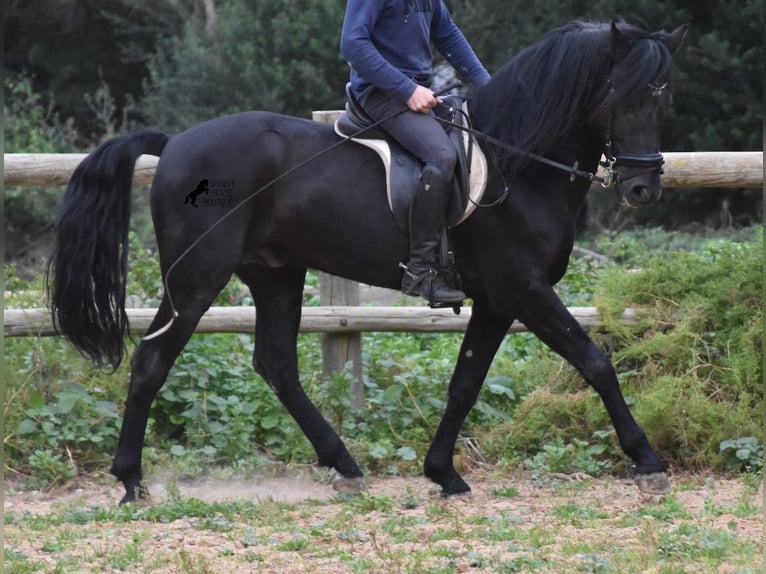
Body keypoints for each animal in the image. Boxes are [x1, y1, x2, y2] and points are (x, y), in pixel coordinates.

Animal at [52, 21, 688, 504]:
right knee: (152, 361)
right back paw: (131, 482)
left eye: (665, 97)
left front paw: (443, 473)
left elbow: (466, 382)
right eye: (625, 95)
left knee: (276, 364)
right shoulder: (524, 290)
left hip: (276, 273)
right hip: (195, 278)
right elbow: (595, 362)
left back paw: (345, 465)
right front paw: (648, 461)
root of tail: (176, 144)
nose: (643, 189)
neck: (519, 165)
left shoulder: (497, 300)